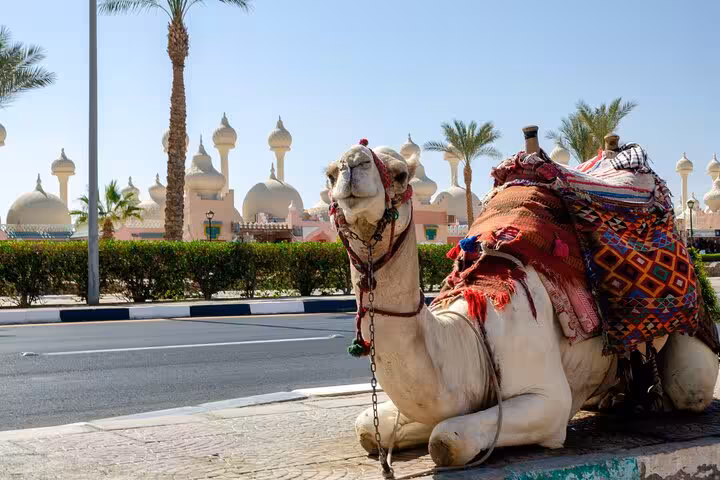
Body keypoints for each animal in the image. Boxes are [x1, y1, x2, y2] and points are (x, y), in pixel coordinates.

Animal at [325, 129, 719, 468]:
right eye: (329, 175)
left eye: (401, 174)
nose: (350, 165)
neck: (471, 334)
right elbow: (369, 427)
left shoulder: (548, 400)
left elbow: (446, 440)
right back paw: (618, 398)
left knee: (689, 388)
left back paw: (650, 400)